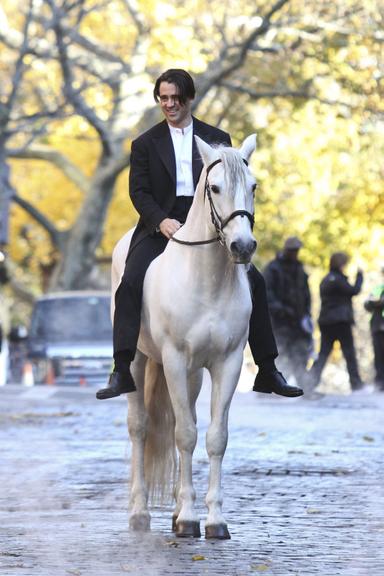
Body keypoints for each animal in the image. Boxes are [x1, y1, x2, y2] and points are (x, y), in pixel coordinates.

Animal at [111, 135, 258, 540]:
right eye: (215, 187)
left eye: (254, 186)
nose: (243, 247)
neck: (208, 279)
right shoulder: (174, 360)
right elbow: (185, 436)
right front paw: (192, 519)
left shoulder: (227, 363)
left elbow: (214, 437)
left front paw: (214, 520)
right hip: (140, 361)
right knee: (140, 427)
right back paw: (140, 514)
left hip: (192, 374)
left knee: (184, 417)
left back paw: (176, 512)